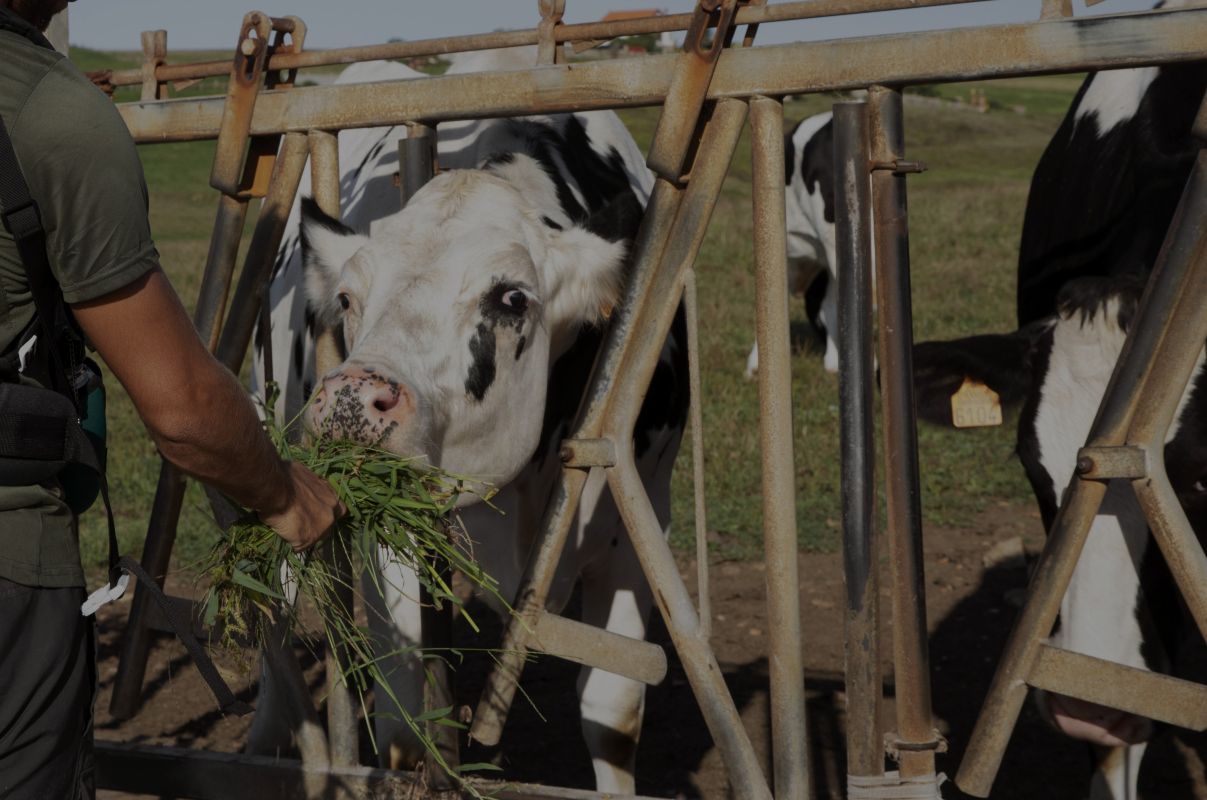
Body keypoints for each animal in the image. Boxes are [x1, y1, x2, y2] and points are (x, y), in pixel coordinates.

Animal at [245, 51, 687, 795]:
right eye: (347, 297)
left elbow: (613, 711)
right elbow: (401, 727)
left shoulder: (637, 510)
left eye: (511, 297)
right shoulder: (390, 528)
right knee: (279, 597)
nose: (351, 397)